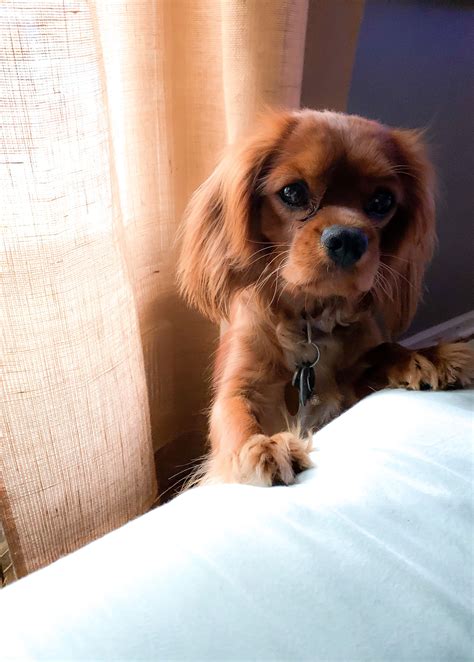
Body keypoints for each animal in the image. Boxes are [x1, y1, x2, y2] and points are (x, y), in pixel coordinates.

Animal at [176, 109, 472, 488]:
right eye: (292, 192)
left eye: (382, 201)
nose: (348, 239)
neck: (309, 322)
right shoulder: (240, 386)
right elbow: (234, 412)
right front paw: (261, 447)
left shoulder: (350, 388)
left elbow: (382, 351)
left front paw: (426, 356)